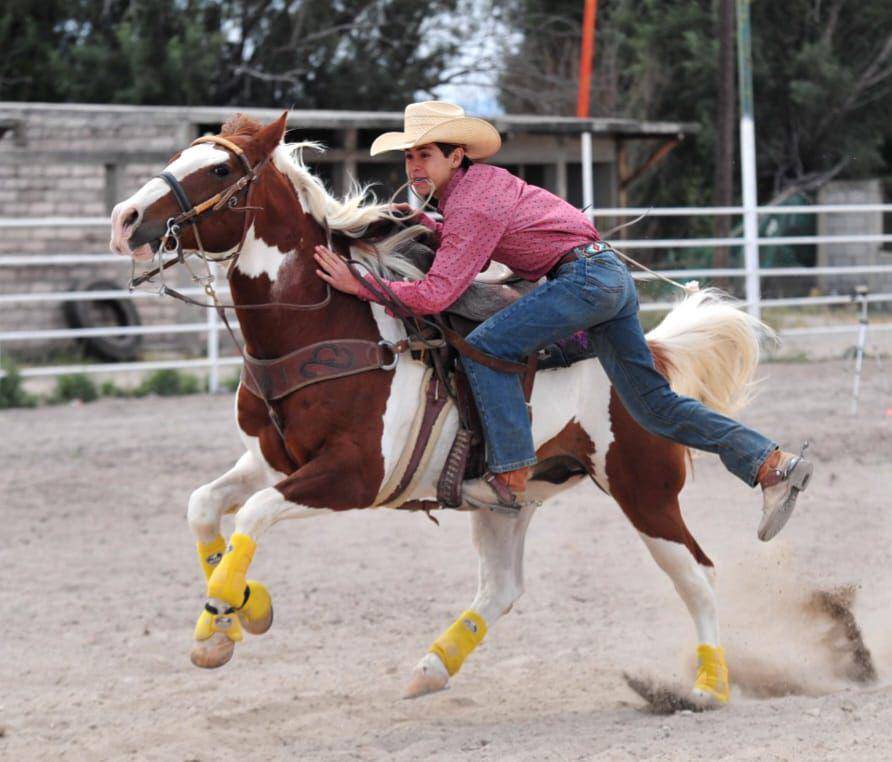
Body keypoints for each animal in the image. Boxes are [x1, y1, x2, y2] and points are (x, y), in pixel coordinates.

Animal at [110, 113, 768, 708]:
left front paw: (233, 613)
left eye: (219, 169)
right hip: (510, 498)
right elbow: (204, 507)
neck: (321, 325)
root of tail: (648, 352)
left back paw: (709, 685)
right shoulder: (270, 462)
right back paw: (430, 669)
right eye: (180, 155)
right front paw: (228, 621)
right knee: (502, 588)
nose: (124, 220)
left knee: (698, 575)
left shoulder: (352, 476)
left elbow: (252, 514)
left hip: (643, 488)